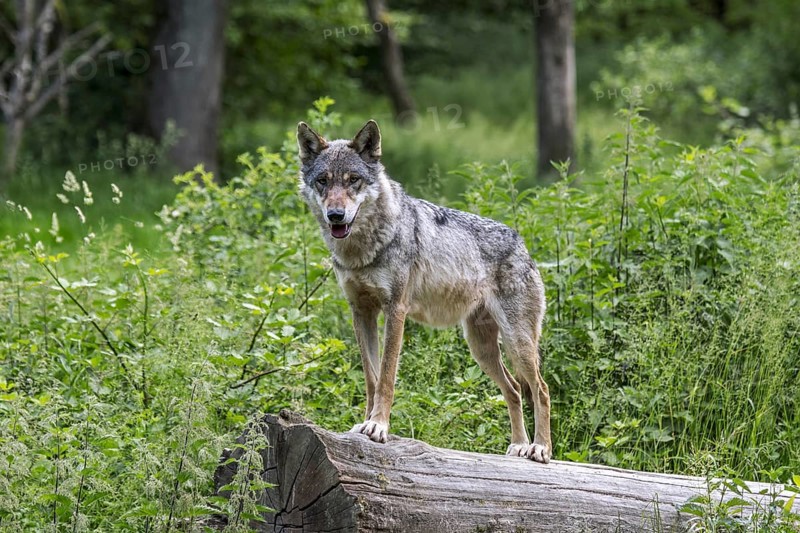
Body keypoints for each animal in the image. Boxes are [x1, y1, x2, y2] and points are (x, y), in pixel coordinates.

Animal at [297, 120, 552, 462]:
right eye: (323, 181)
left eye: (353, 180)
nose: (335, 215)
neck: (363, 250)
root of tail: (521, 242)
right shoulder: (361, 313)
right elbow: (371, 378)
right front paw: (363, 424)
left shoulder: (395, 311)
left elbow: (386, 376)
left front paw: (378, 426)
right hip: (481, 349)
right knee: (513, 390)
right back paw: (518, 446)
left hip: (517, 343)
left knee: (541, 389)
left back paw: (540, 448)